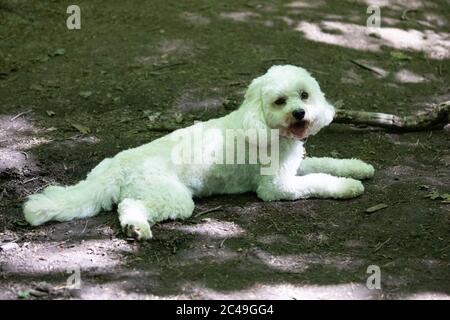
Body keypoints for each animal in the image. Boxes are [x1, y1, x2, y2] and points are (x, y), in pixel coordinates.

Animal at [22, 65, 374, 240]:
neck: (262, 124)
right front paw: (349, 186)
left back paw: (135, 228)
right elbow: (318, 180)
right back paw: (137, 228)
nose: (300, 113)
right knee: (131, 205)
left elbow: (325, 163)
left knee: (128, 205)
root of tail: (117, 167)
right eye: (279, 101)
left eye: (304, 94)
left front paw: (358, 168)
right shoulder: (277, 187)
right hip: (172, 196)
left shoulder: (292, 165)